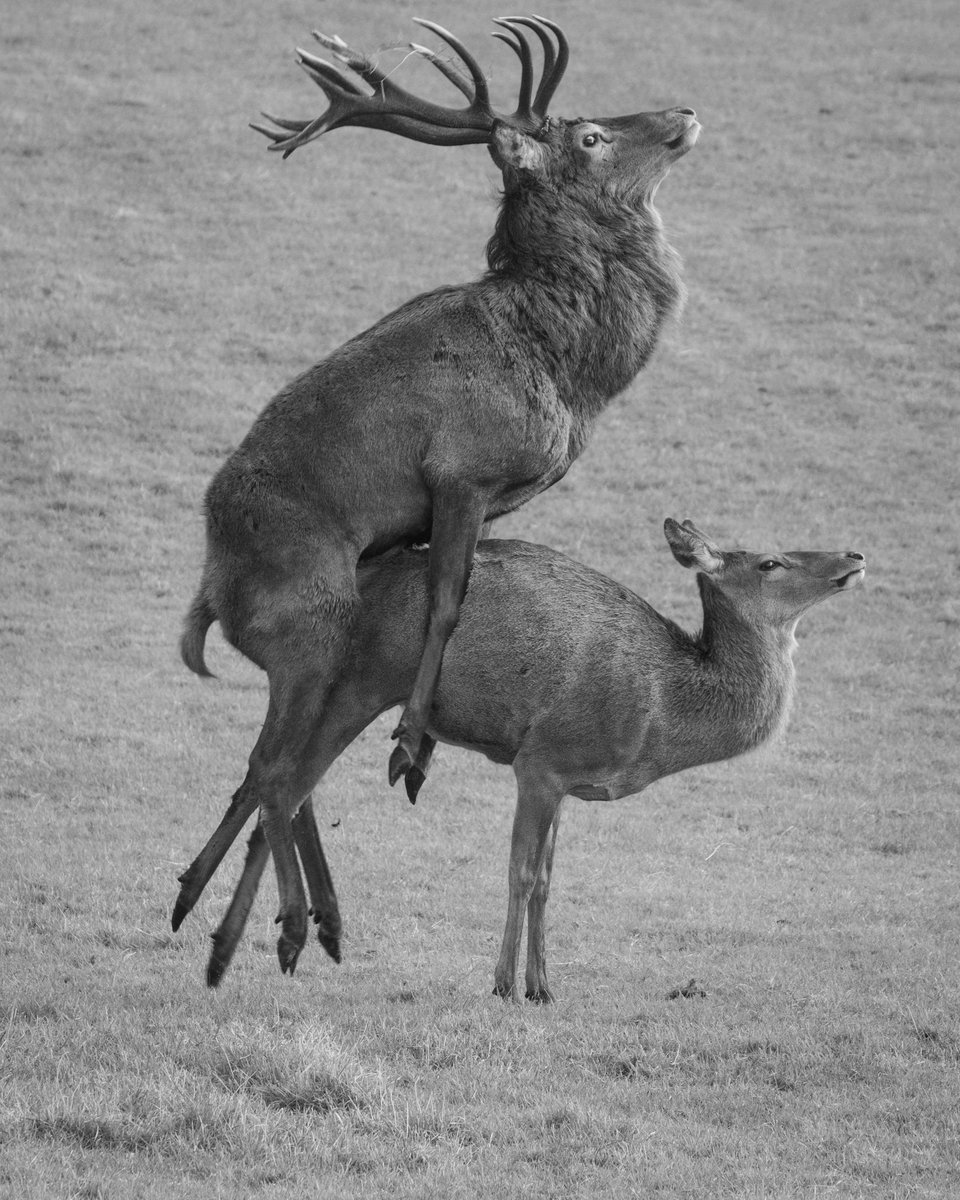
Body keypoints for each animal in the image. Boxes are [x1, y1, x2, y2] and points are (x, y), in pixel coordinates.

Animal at [174, 519, 865, 998]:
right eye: (771, 560)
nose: (855, 556)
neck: (659, 719)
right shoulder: (541, 760)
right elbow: (523, 874)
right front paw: (505, 983)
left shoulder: (567, 783)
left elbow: (550, 881)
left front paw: (543, 986)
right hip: (360, 681)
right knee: (281, 782)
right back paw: (280, 935)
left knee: (265, 773)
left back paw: (204, 914)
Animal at [178, 16, 701, 977]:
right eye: (591, 136)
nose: (683, 110)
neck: (571, 373)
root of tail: (208, 599)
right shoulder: (462, 472)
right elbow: (448, 603)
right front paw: (413, 750)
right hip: (311, 620)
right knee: (274, 769)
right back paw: (276, 924)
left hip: (315, 637)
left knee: (278, 766)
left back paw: (240, 912)